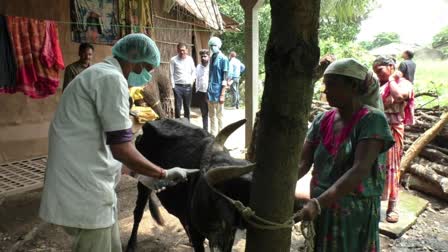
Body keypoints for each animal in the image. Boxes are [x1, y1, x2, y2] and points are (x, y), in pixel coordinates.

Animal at [125, 118, 256, 252]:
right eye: (242, 187)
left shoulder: (229, 234)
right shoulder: (197, 232)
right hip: (142, 181)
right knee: (138, 212)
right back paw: (131, 244)